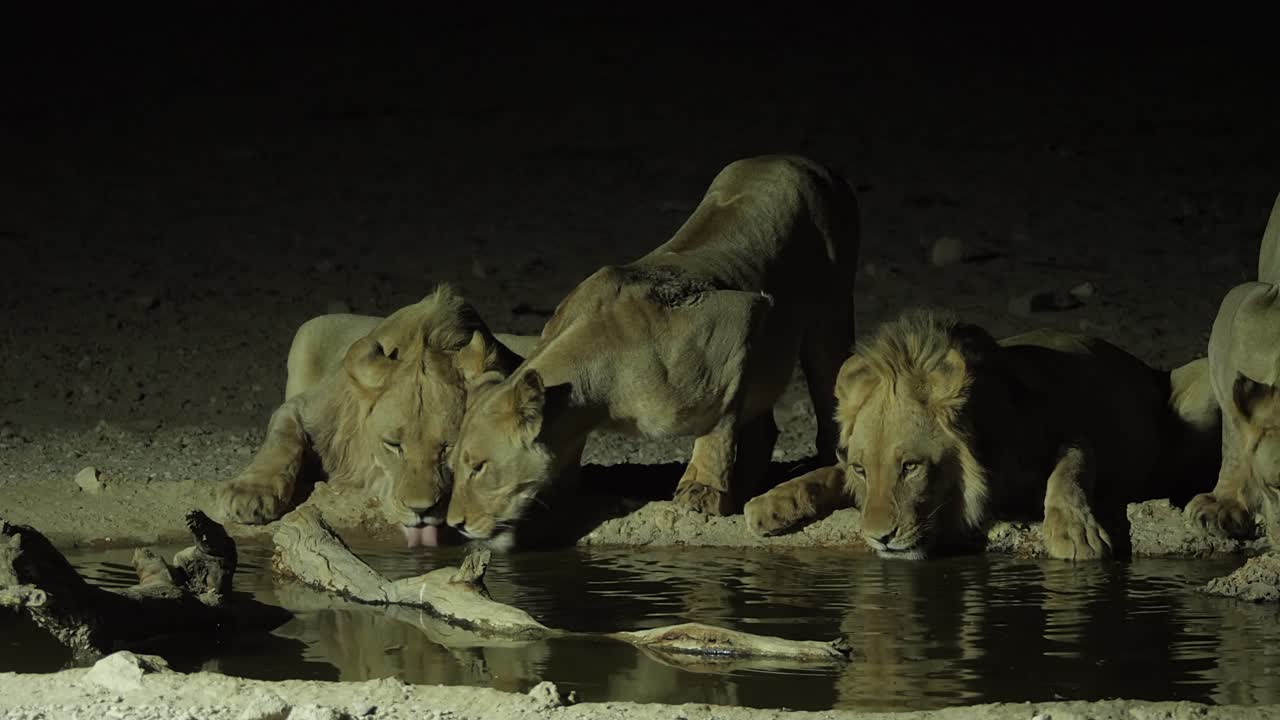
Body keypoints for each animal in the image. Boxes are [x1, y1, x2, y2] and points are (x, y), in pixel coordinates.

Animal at [212, 285, 535, 546]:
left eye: (449, 448)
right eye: (393, 445)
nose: (421, 510)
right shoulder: (305, 407)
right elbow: (281, 440)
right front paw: (250, 494)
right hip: (310, 329)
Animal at [443, 155, 860, 546]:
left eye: (479, 467)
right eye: (455, 465)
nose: (455, 524)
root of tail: (804, 161)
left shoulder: (737, 318)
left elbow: (718, 425)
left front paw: (702, 492)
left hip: (829, 318)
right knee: (764, 428)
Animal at [746, 310, 1221, 560]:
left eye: (911, 467)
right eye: (863, 469)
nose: (879, 538)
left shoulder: (1074, 433)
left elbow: (1069, 468)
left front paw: (1074, 533)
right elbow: (826, 471)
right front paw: (772, 502)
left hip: (1202, 376)